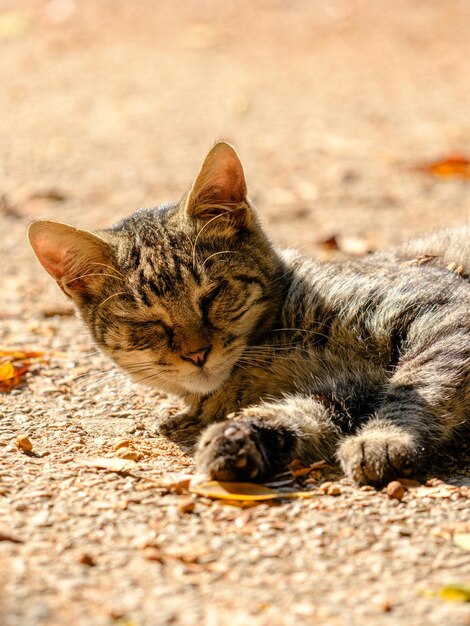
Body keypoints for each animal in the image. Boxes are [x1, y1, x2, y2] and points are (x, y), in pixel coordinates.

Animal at [28, 144, 470, 486]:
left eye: (212, 294)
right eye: (145, 321)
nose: (196, 354)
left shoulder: (443, 313)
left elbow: (416, 385)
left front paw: (384, 438)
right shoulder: (343, 387)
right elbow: (300, 414)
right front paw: (240, 438)